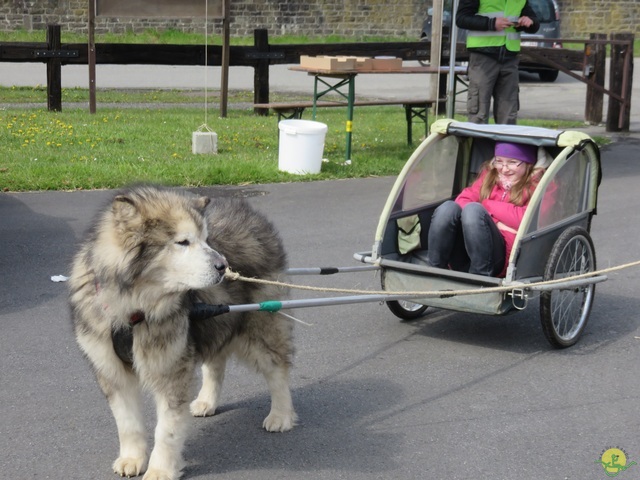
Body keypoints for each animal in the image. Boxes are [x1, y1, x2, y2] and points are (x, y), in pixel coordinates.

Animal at [68, 186, 296, 480]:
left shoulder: (171, 368)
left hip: (260, 326)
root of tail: (250, 214)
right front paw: (132, 458)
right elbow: (128, 423)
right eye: (183, 242)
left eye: (206, 240)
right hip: (215, 319)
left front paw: (160, 469)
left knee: (277, 369)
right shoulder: (111, 370)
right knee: (216, 363)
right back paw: (207, 401)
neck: (133, 309)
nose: (224, 265)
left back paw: (281, 415)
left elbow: (167, 430)